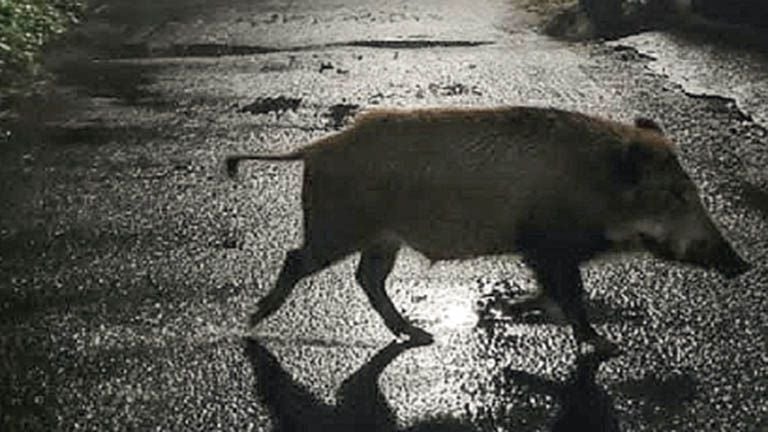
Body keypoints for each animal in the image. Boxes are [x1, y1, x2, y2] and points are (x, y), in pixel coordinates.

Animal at [226, 106, 751, 354]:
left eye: (691, 191)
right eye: (677, 195)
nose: (742, 264)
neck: (596, 185)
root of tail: (315, 148)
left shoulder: (542, 251)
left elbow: (555, 293)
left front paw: (513, 310)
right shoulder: (549, 245)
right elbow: (570, 294)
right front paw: (607, 345)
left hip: (382, 239)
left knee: (367, 278)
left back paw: (419, 335)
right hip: (339, 226)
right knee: (298, 258)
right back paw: (253, 319)